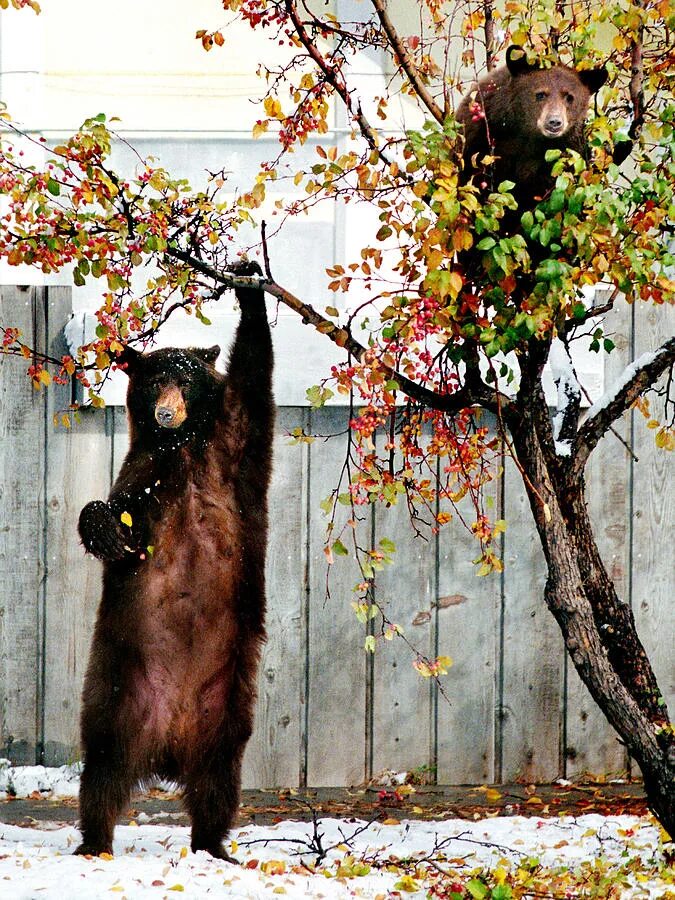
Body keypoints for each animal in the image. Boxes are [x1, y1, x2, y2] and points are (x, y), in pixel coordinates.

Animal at [76, 258, 272, 856]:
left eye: (184, 379)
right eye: (154, 380)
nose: (165, 411)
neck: (181, 446)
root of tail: (167, 747)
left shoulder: (231, 450)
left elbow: (252, 382)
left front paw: (249, 283)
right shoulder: (145, 476)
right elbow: (115, 509)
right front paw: (103, 531)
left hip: (228, 705)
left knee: (219, 783)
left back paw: (213, 846)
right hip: (119, 691)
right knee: (101, 771)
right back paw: (94, 842)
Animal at [456, 45, 608, 204]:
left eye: (569, 97)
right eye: (540, 94)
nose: (555, 122)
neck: (527, 134)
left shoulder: (569, 150)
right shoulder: (480, 134)